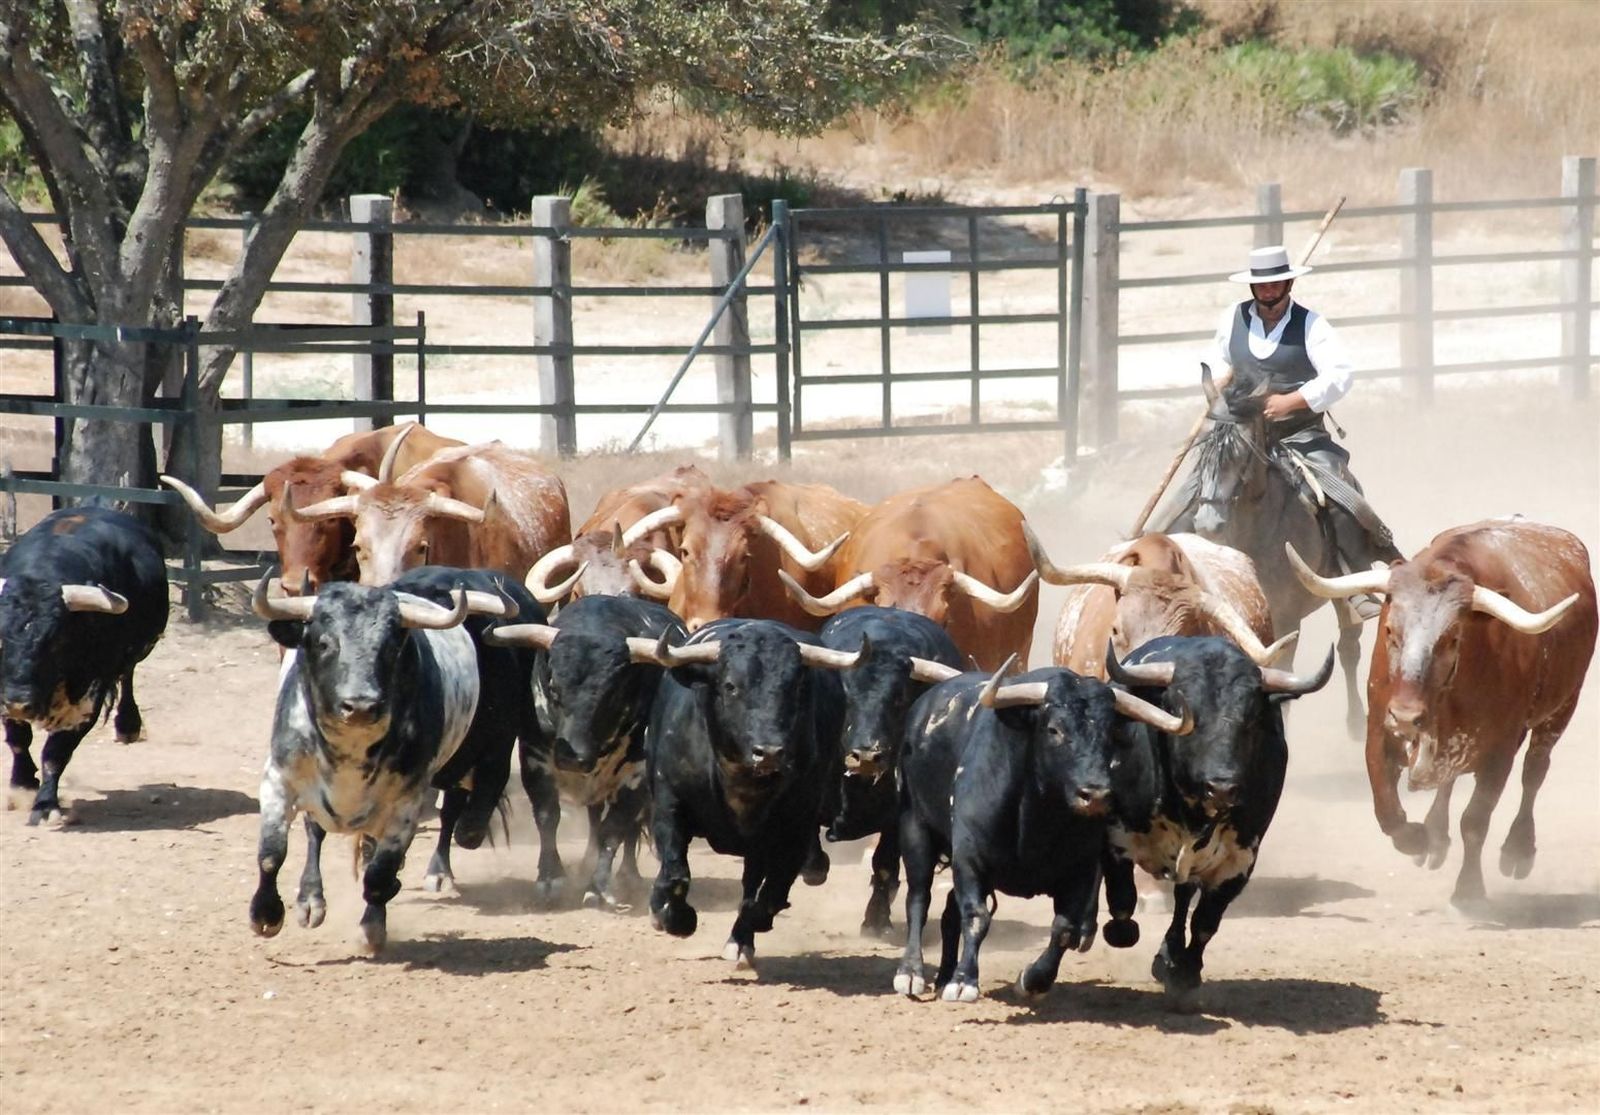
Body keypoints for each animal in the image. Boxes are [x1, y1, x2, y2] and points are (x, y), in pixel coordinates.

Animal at [1157, 366, 1369, 738]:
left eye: (1240, 452)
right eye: (1202, 449)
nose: (1209, 521)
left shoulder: (1284, 622)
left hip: (1342, 587)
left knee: (1348, 645)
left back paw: (1356, 723)